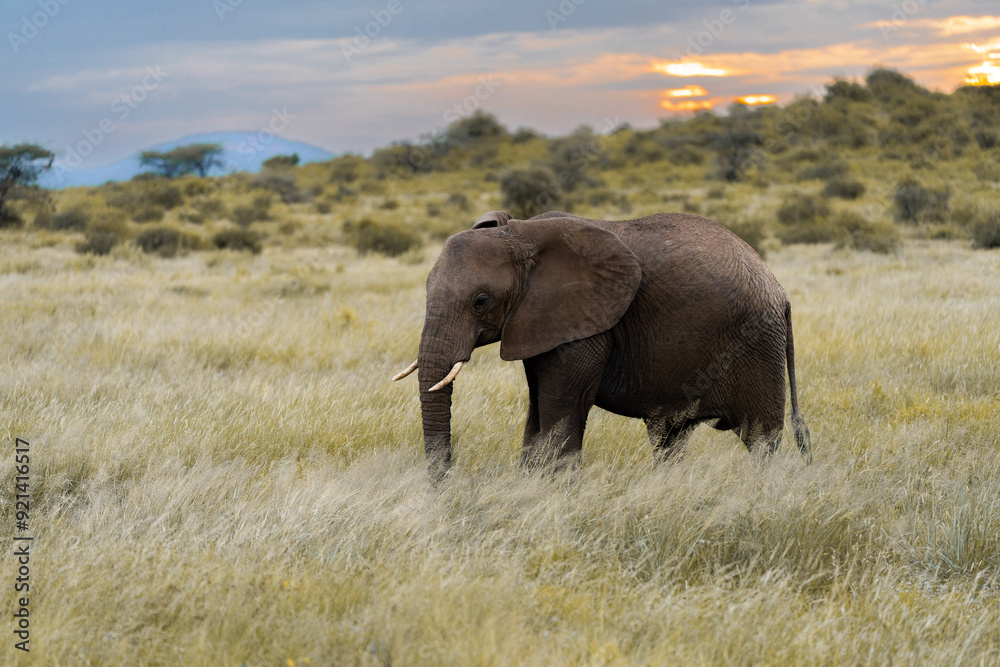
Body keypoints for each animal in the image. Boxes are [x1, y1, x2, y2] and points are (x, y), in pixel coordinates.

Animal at [394, 210, 811, 478]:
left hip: (758, 347)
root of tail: (780, 290)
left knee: (760, 439)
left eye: (481, 301)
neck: (523, 233)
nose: (447, 484)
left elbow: (562, 411)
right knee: (670, 437)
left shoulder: (587, 327)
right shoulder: (539, 322)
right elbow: (538, 410)